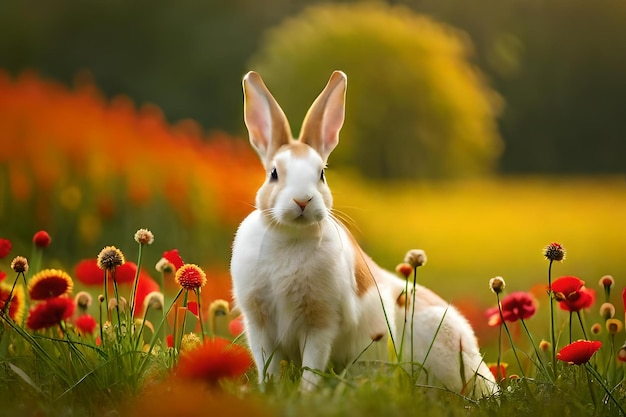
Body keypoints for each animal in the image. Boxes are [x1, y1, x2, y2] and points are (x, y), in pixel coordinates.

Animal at [229, 70, 498, 394]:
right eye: (274, 174)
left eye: (322, 173)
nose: (302, 200)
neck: (291, 236)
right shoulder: (259, 324)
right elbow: (267, 366)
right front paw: (269, 392)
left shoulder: (320, 324)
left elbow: (311, 366)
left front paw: (306, 395)